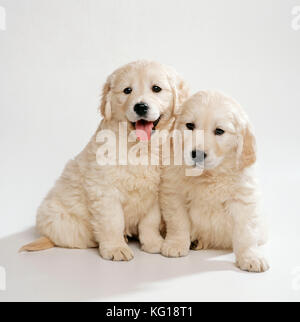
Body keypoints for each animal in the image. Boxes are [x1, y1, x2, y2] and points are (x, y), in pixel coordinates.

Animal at [21, 61, 189, 262]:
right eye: (127, 90)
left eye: (156, 88)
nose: (140, 107)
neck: (138, 147)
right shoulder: (104, 191)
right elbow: (112, 222)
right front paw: (116, 248)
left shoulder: (154, 192)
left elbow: (150, 222)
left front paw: (154, 243)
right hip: (57, 216)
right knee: (72, 237)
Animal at [161, 90, 270, 272]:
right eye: (190, 126)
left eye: (219, 131)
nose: (197, 154)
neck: (208, 175)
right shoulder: (174, 193)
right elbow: (178, 222)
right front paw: (175, 244)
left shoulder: (243, 199)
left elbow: (246, 232)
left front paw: (250, 256)